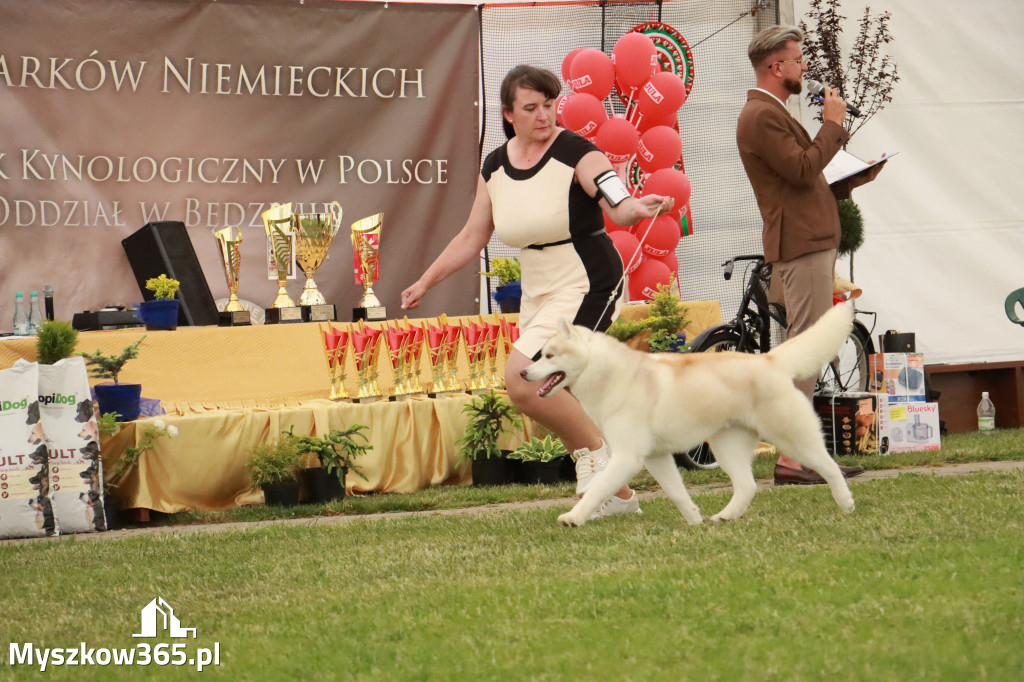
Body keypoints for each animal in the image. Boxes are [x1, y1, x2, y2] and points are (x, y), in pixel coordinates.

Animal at [520, 301, 856, 524]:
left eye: (549, 356)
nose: (522, 372)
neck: (615, 377)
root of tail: (769, 360)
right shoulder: (656, 457)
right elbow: (677, 492)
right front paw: (694, 521)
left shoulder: (628, 457)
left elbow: (598, 489)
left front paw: (574, 517)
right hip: (726, 447)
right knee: (746, 486)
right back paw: (724, 517)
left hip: (792, 438)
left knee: (829, 466)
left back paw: (846, 503)